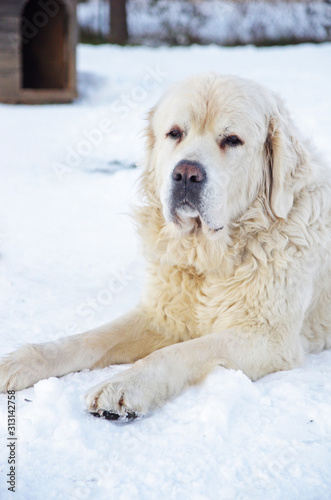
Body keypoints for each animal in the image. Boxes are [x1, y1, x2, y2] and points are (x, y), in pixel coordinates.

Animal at [0, 72, 331, 420]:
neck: (207, 257)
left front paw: (123, 386)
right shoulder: (160, 316)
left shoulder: (267, 337)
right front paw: (21, 360)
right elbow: (88, 339)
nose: (186, 174)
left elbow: (179, 352)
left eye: (232, 140)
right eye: (175, 133)